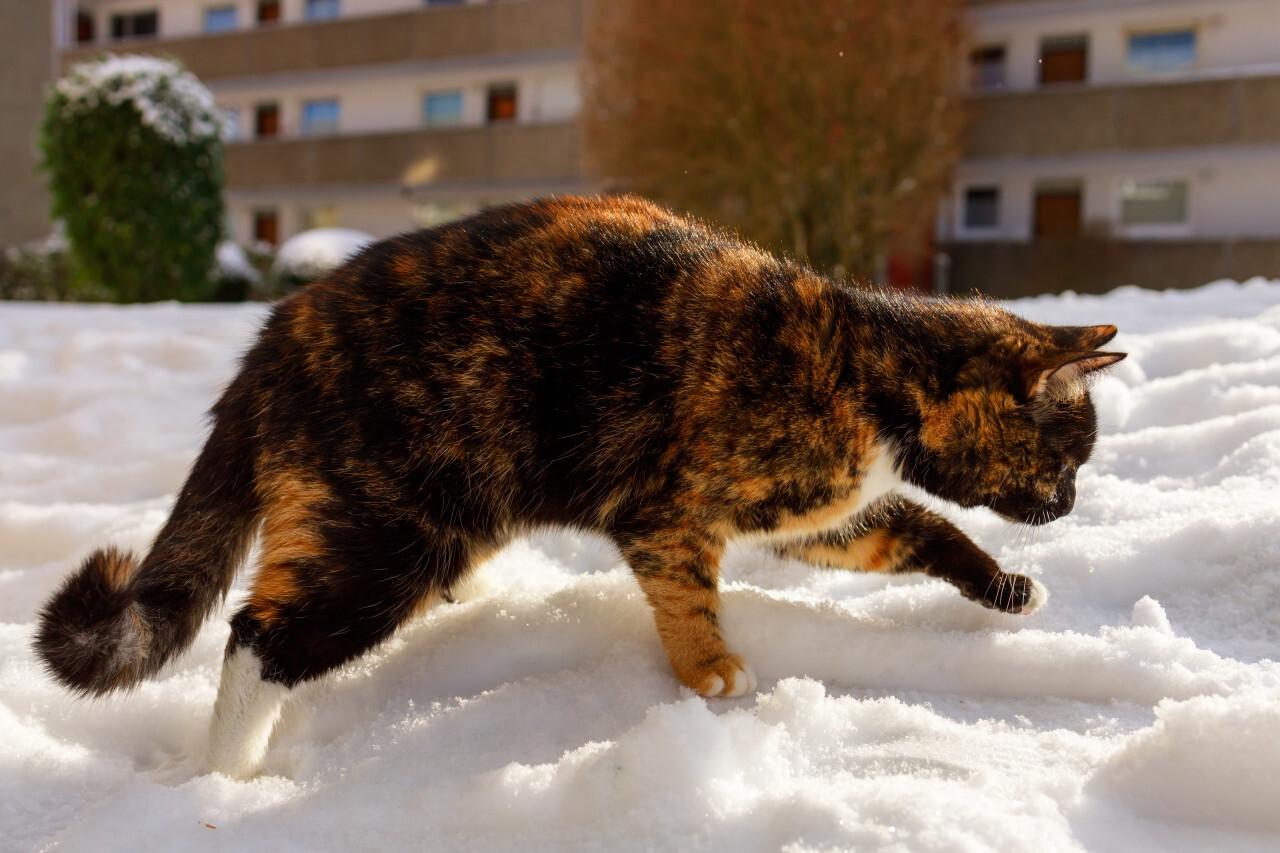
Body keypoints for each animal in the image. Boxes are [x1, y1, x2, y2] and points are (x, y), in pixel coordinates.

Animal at [35, 194, 1126, 778]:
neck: (870, 365)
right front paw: (709, 674)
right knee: (260, 636)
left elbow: (922, 532)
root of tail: (271, 338)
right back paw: (230, 776)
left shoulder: (818, 516)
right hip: (385, 529)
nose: (1072, 505)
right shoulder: (670, 511)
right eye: (1065, 459)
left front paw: (1005, 585)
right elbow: (687, 596)